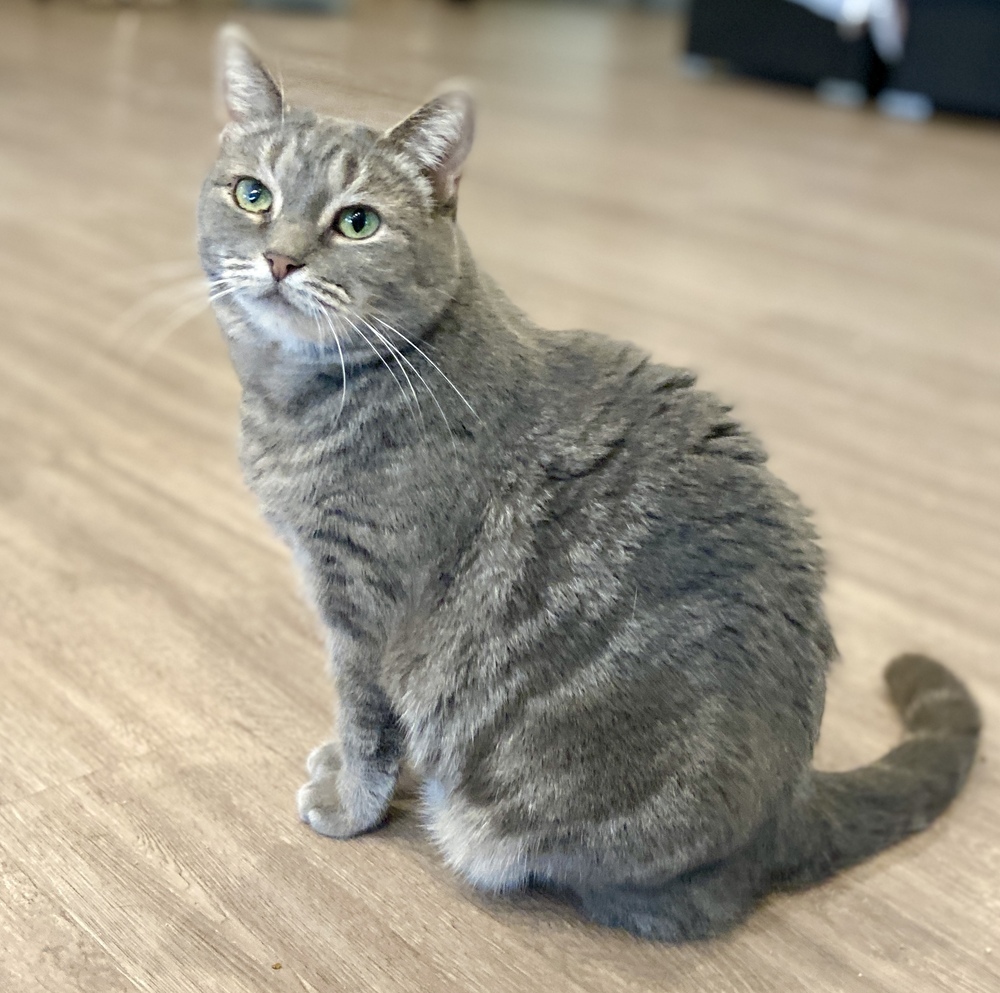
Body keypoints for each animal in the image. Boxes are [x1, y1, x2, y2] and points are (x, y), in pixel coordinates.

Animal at [199, 25, 980, 936]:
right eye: (253, 194)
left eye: (356, 222)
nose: (279, 258)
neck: (297, 396)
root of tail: (788, 807)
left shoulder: (366, 608)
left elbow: (367, 723)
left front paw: (350, 807)